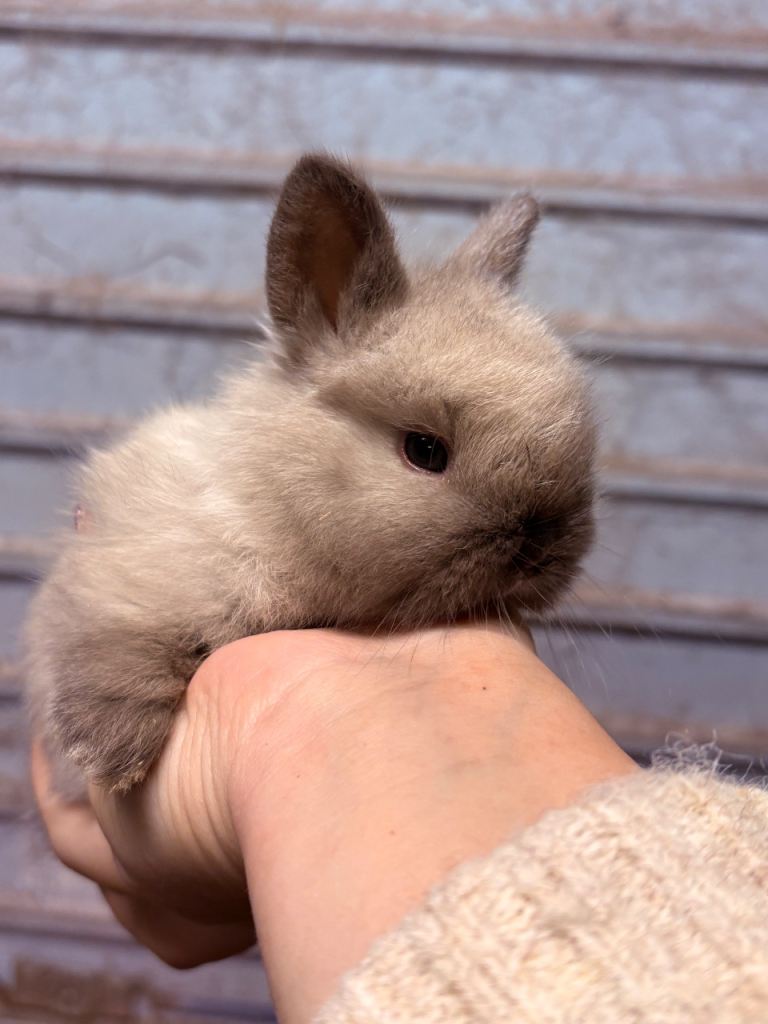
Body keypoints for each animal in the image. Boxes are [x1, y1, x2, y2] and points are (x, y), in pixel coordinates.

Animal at [24, 153, 597, 799]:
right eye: (424, 450)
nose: (543, 553)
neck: (273, 508)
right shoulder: (121, 577)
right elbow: (112, 643)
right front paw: (109, 753)